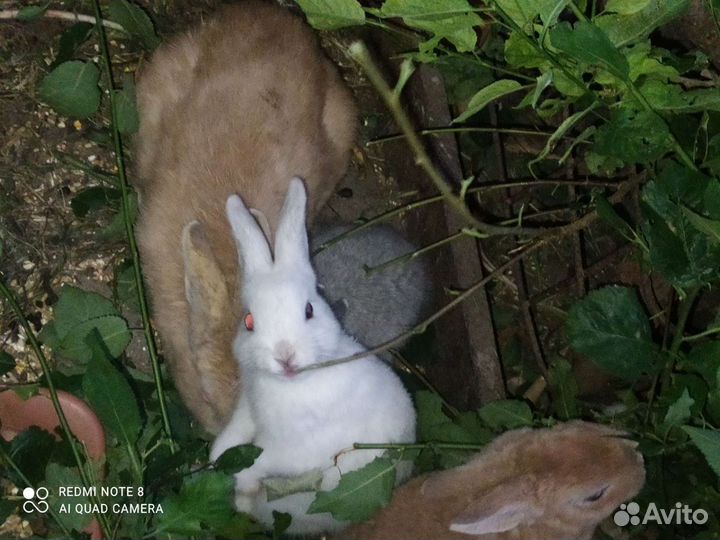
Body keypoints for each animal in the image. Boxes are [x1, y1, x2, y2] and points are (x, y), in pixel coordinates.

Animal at [209, 178, 417, 534]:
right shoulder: (248, 410)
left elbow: (259, 461)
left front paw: (239, 480)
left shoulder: (294, 449)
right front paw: (214, 461)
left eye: (308, 310)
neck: (293, 384)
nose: (285, 355)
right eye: (249, 321)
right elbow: (231, 439)